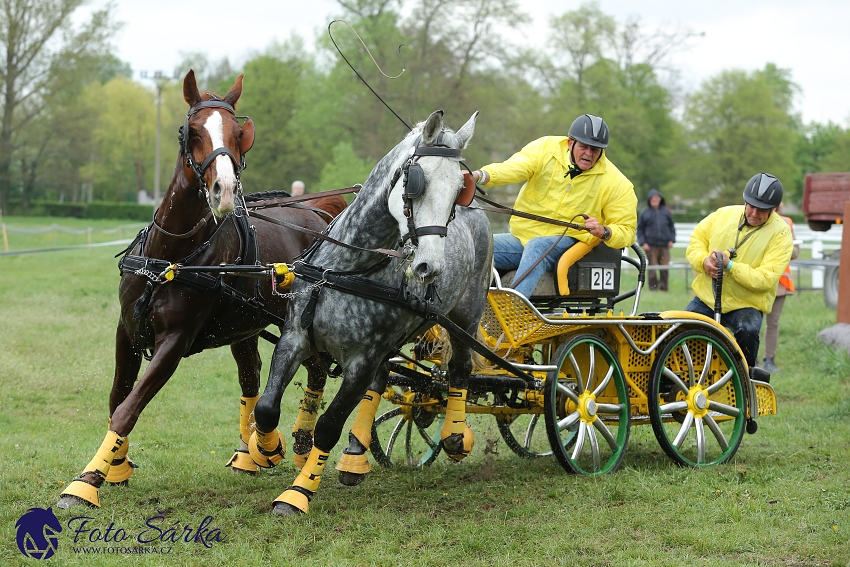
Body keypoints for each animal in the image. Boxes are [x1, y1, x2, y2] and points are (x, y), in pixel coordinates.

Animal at [58, 71, 346, 510]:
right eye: (191, 131)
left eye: (239, 133)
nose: (223, 189)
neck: (171, 256)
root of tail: (319, 212)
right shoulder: (127, 331)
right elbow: (117, 398)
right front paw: (115, 466)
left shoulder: (174, 340)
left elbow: (129, 406)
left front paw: (87, 481)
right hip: (244, 323)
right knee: (252, 374)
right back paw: (256, 449)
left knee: (314, 368)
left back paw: (293, 444)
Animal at [245, 108, 490, 516]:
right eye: (417, 183)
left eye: (460, 188)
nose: (429, 267)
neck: (346, 270)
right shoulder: (295, 336)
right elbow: (266, 408)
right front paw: (264, 450)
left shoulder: (362, 359)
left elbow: (328, 425)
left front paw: (298, 493)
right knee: (383, 379)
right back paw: (355, 456)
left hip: (464, 318)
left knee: (459, 369)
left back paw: (455, 435)